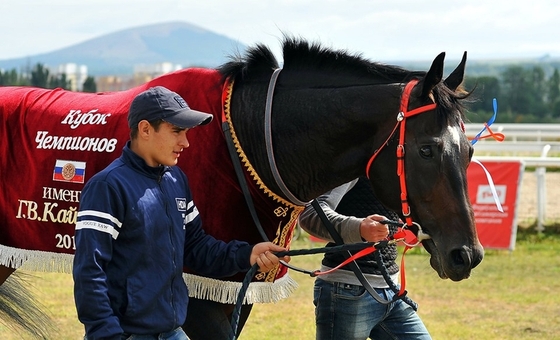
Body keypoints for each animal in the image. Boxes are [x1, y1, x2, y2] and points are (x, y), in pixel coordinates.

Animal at [0, 37, 482, 340]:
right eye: (426, 149)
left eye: (470, 151)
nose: (467, 254)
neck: (247, 136)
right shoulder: (196, 293)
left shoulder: (236, 288)